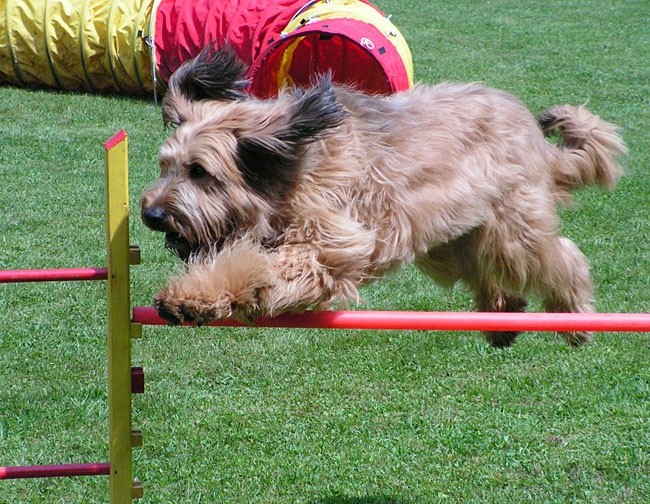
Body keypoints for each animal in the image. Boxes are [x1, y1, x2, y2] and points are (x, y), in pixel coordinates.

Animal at [140, 46, 624, 346]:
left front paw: (192, 298)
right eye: (165, 165)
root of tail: (533, 133)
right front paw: (190, 297)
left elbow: (256, 263)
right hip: (454, 238)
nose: (152, 215)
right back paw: (502, 322)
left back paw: (575, 319)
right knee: (493, 278)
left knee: (560, 257)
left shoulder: (331, 243)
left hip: (511, 231)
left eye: (200, 172)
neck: (288, 169)